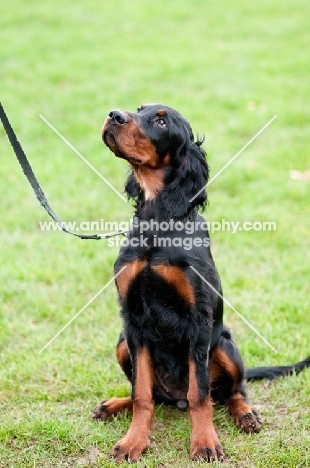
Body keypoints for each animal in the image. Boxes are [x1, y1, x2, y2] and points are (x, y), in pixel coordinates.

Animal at [92, 104, 310, 462]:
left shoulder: (199, 319)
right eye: (138, 109)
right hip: (123, 343)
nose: (113, 115)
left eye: (161, 120)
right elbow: (141, 393)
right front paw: (134, 441)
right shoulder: (132, 318)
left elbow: (200, 393)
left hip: (223, 345)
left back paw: (245, 414)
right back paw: (112, 405)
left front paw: (205, 442)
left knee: (233, 391)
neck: (159, 222)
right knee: (153, 393)